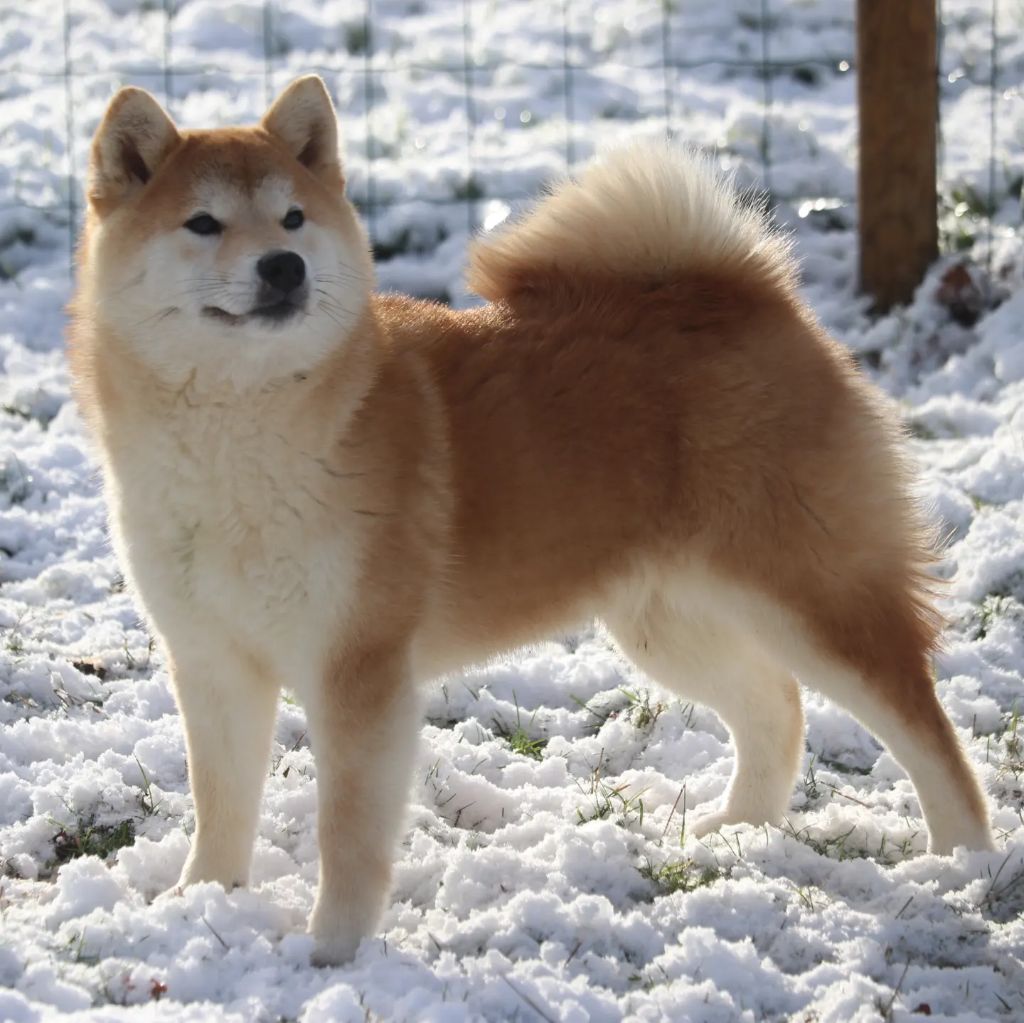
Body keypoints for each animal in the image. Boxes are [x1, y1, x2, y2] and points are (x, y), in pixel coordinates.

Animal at [68, 75, 995, 965]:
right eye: (203, 223)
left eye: (293, 216)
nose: (284, 266)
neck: (240, 432)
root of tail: (753, 295)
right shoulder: (212, 660)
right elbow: (220, 804)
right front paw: (201, 903)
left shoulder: (359, 669)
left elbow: (347, 832)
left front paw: (331, 950)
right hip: (666, 620)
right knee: (775, 704)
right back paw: (739, 831)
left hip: (811, 595)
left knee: (920, 725)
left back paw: (964, 865)